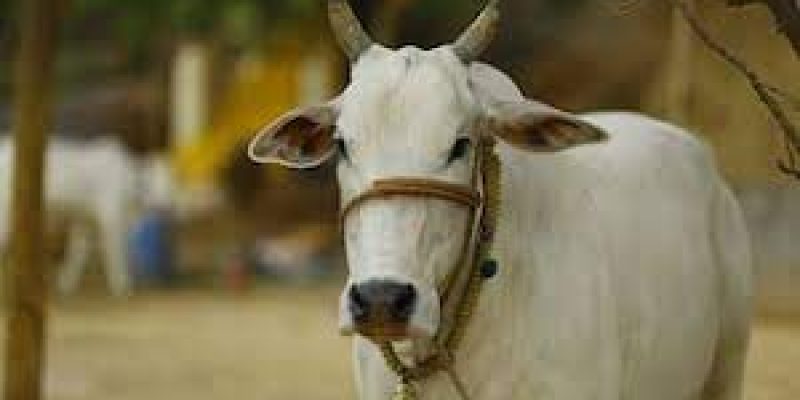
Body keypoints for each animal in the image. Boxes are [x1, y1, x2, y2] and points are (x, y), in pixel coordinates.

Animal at [0, 136, 173, 297]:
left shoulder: (85, 222)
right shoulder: (110, 220)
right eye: (160, 183)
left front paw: (65, 284)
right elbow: (116, 255)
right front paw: (122, 286)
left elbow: (77, 253)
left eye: (171, 181)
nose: (169, 204)